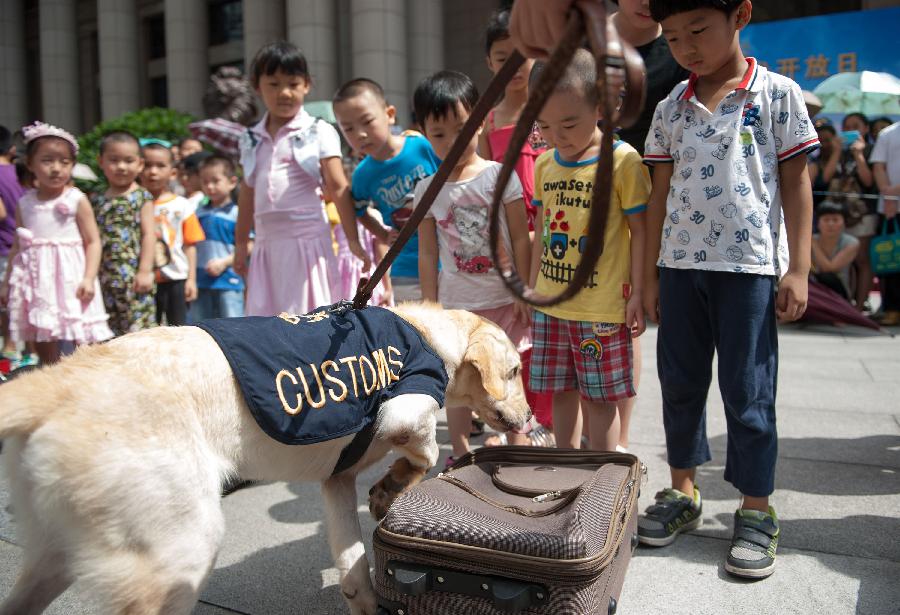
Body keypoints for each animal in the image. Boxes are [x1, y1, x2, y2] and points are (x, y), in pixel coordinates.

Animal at [0, 304, 532, 615]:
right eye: (515, 370)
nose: (529, 418)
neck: (425, 333)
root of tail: (55, 383)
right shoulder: (403, 409)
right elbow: (424, 449)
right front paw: (390, 487)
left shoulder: (337, 481)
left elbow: (353, 564)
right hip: (179, 551)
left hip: (54, 555)